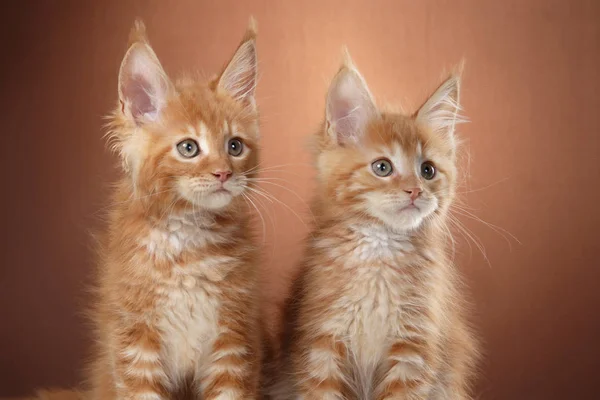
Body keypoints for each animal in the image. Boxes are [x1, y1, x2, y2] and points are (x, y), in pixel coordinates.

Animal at [87, 18, 262, 400]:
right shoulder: (135, 340)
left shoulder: (233, 337)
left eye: (235, 146)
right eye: (188, 148)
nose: (224, 173)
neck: (187, 241)